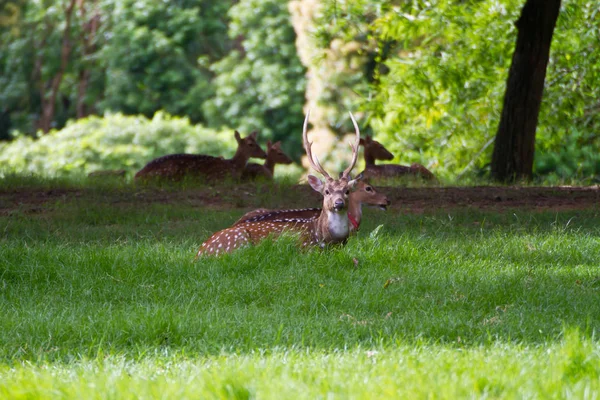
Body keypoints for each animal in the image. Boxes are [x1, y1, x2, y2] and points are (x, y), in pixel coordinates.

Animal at [196, 111, 360, 258]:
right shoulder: (306, 248)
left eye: (347, 191)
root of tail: (199, 253)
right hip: (238, 240)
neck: (328, 239)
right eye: (326, 191)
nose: (339, 203)